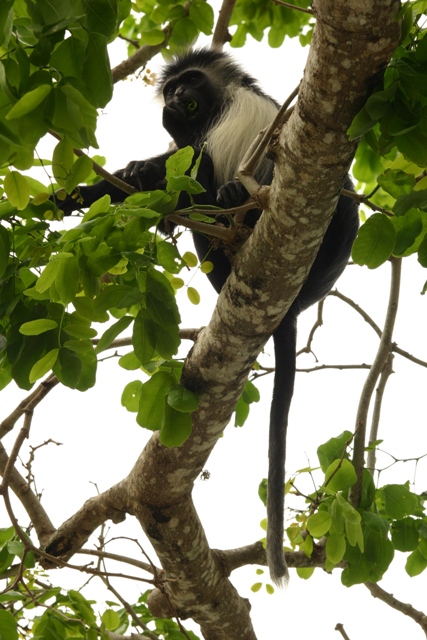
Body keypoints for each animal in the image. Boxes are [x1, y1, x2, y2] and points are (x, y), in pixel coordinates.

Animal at [55, 47, 360, 584]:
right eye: (173, 85)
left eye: (192, 81)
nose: (176, 95)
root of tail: (298, 299)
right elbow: (160, 167)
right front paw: (80, 193)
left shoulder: (233, 114)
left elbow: (196, 164)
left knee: (216, 179)